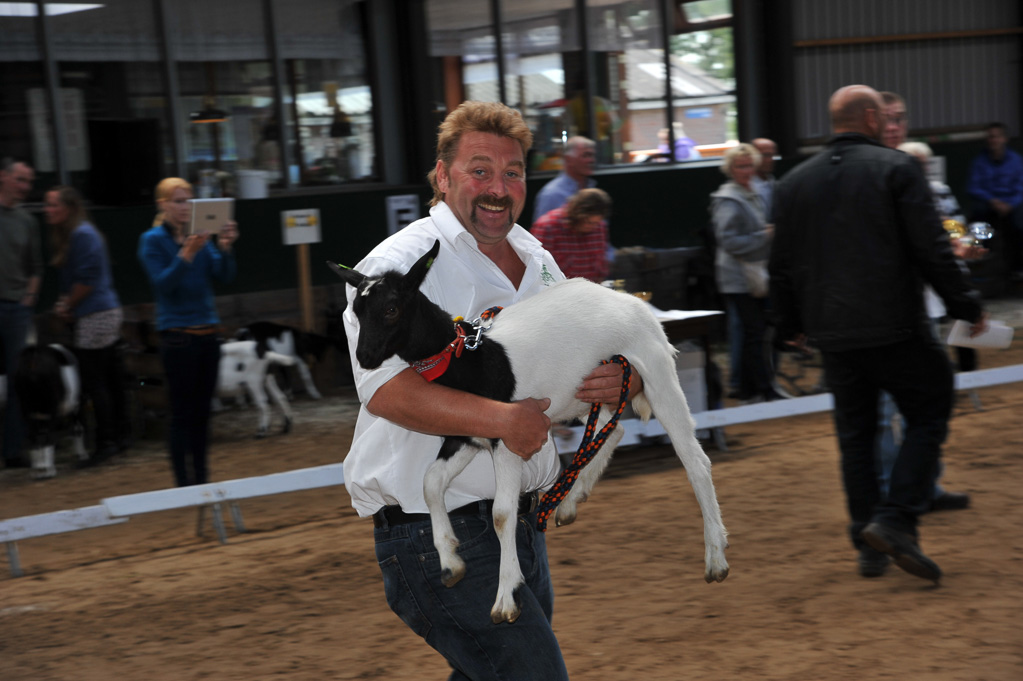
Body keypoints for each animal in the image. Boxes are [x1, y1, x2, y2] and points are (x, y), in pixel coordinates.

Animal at [12, 341, 86, 474]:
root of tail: (33, 357)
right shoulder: (75, 406)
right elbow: (77, 429)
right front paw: (82, 456)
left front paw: (40, 466)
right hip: (52, 409)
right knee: (48, 437)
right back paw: (50, 470)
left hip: (26, 409)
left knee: (34, 437)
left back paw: (39, 470)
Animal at [327, 237, 728, 621]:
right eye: (356, 311)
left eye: (392, 309)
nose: (364, 358)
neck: (469, 358)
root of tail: (633, 303)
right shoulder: (465, 437)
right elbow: (430, 484)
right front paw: (451, 562)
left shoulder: (509, 438)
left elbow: (502, 513)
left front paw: (506, 598)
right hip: (584, 392)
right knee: (611, 431)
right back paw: (568, 501)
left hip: (657, 373)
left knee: (695, 461)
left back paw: (716, 558)